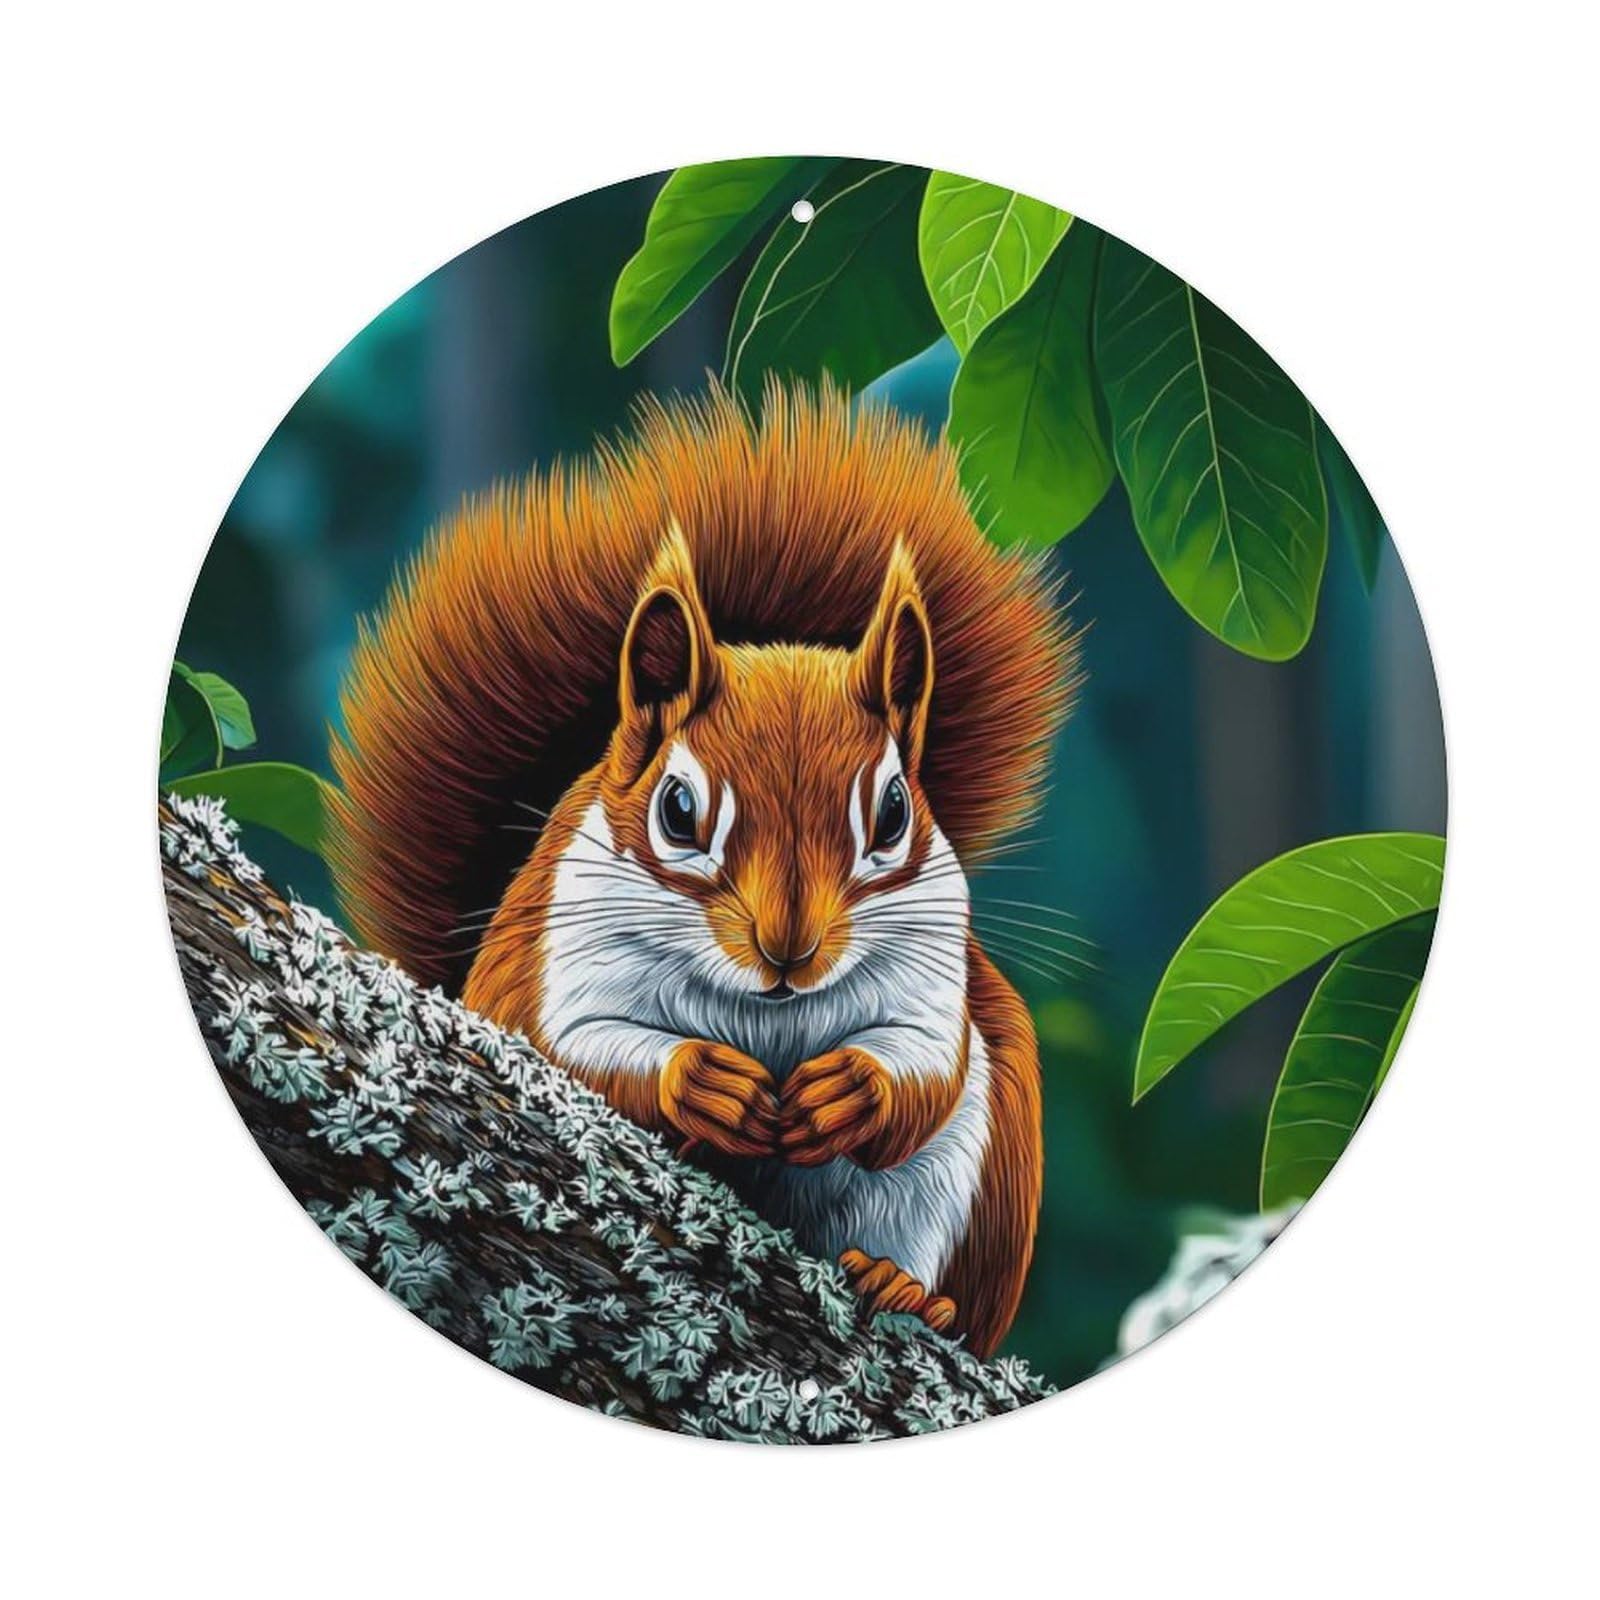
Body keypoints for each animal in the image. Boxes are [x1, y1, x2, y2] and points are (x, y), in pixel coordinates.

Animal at [328, 383, 1076, 1357]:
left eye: (893, 814)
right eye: (678, 812)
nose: (789, 949)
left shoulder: (933, 956)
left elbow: (925, 1064)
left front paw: (852, 1090)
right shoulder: (557, 951)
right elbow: (567, 1053)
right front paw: (701, 1081)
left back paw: (908, 1292)